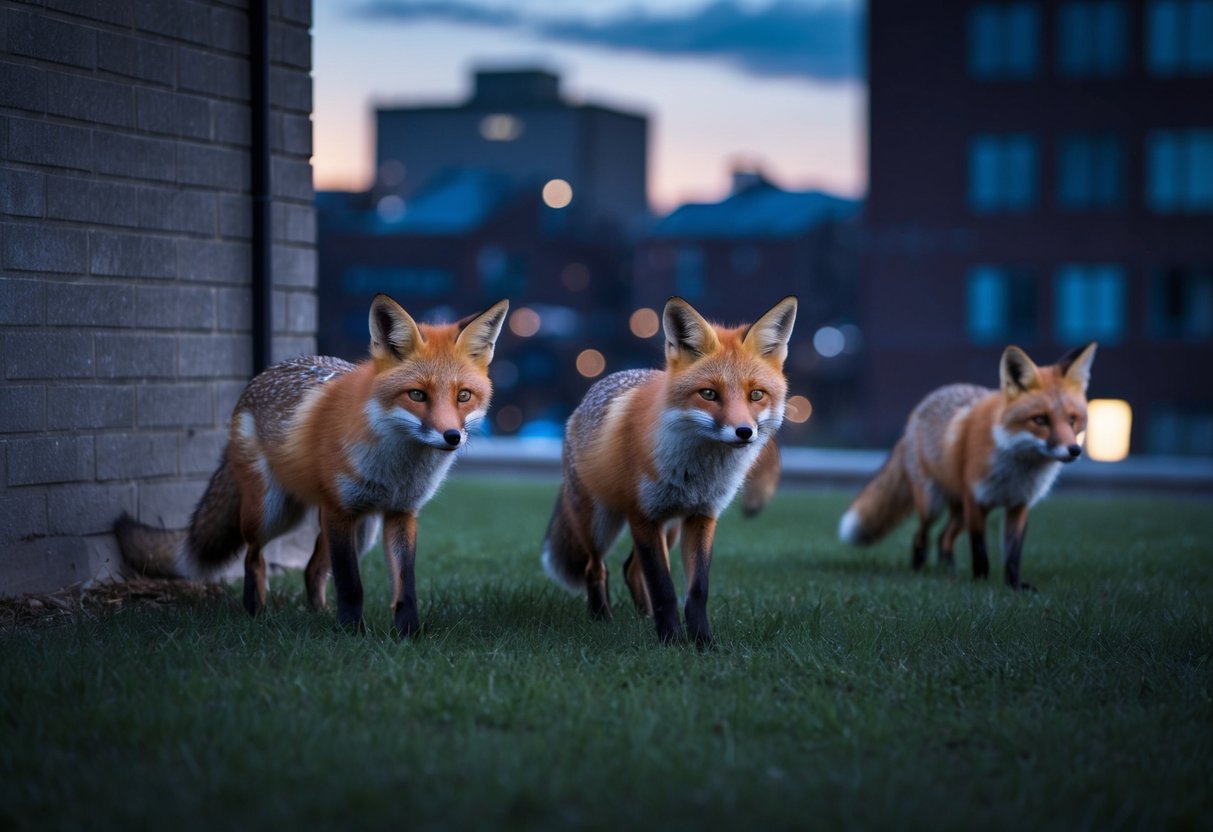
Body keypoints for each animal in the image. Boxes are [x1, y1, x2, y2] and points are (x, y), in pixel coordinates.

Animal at [114, 293, 509, 636]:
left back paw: (318, 615)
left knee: (311, 569)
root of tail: (263, 374)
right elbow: (350, 585)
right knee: (253, 557)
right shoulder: (340, 511)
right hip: (271, 512)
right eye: (417, 395)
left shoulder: (401, 514)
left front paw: (408, 635)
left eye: (463, 396)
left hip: (360, 529)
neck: (397, 470)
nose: (451, 436)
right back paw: (256, 613)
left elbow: (405, 586)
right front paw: (352, 634)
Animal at [542, 295, 797, 645]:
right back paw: (602, 619)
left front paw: (702, 643)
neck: (697, 474)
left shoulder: (701, 516)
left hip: (670, 529)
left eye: (756, 394)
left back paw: (643, 617)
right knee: (596, 568)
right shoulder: (643, 516)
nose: (744, 432)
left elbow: (696, 591)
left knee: (630, 569)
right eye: (709, 393)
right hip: (600, 523)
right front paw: (672, 643)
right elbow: (663, 587)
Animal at [838, 342, 1098, 590]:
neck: (1017, 470)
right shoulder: (976, 500)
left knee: (943, 537)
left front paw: (1014, 586)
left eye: (1073, 420)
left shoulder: (1019, 505)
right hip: (933, 504)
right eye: (1040, 420)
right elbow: (980, 548)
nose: (1074, 450)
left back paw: (949, 569)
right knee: (921, 535)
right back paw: (919, 568)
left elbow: (1013, 554)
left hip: (959, 510)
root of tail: (912, 419)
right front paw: (981, 582)